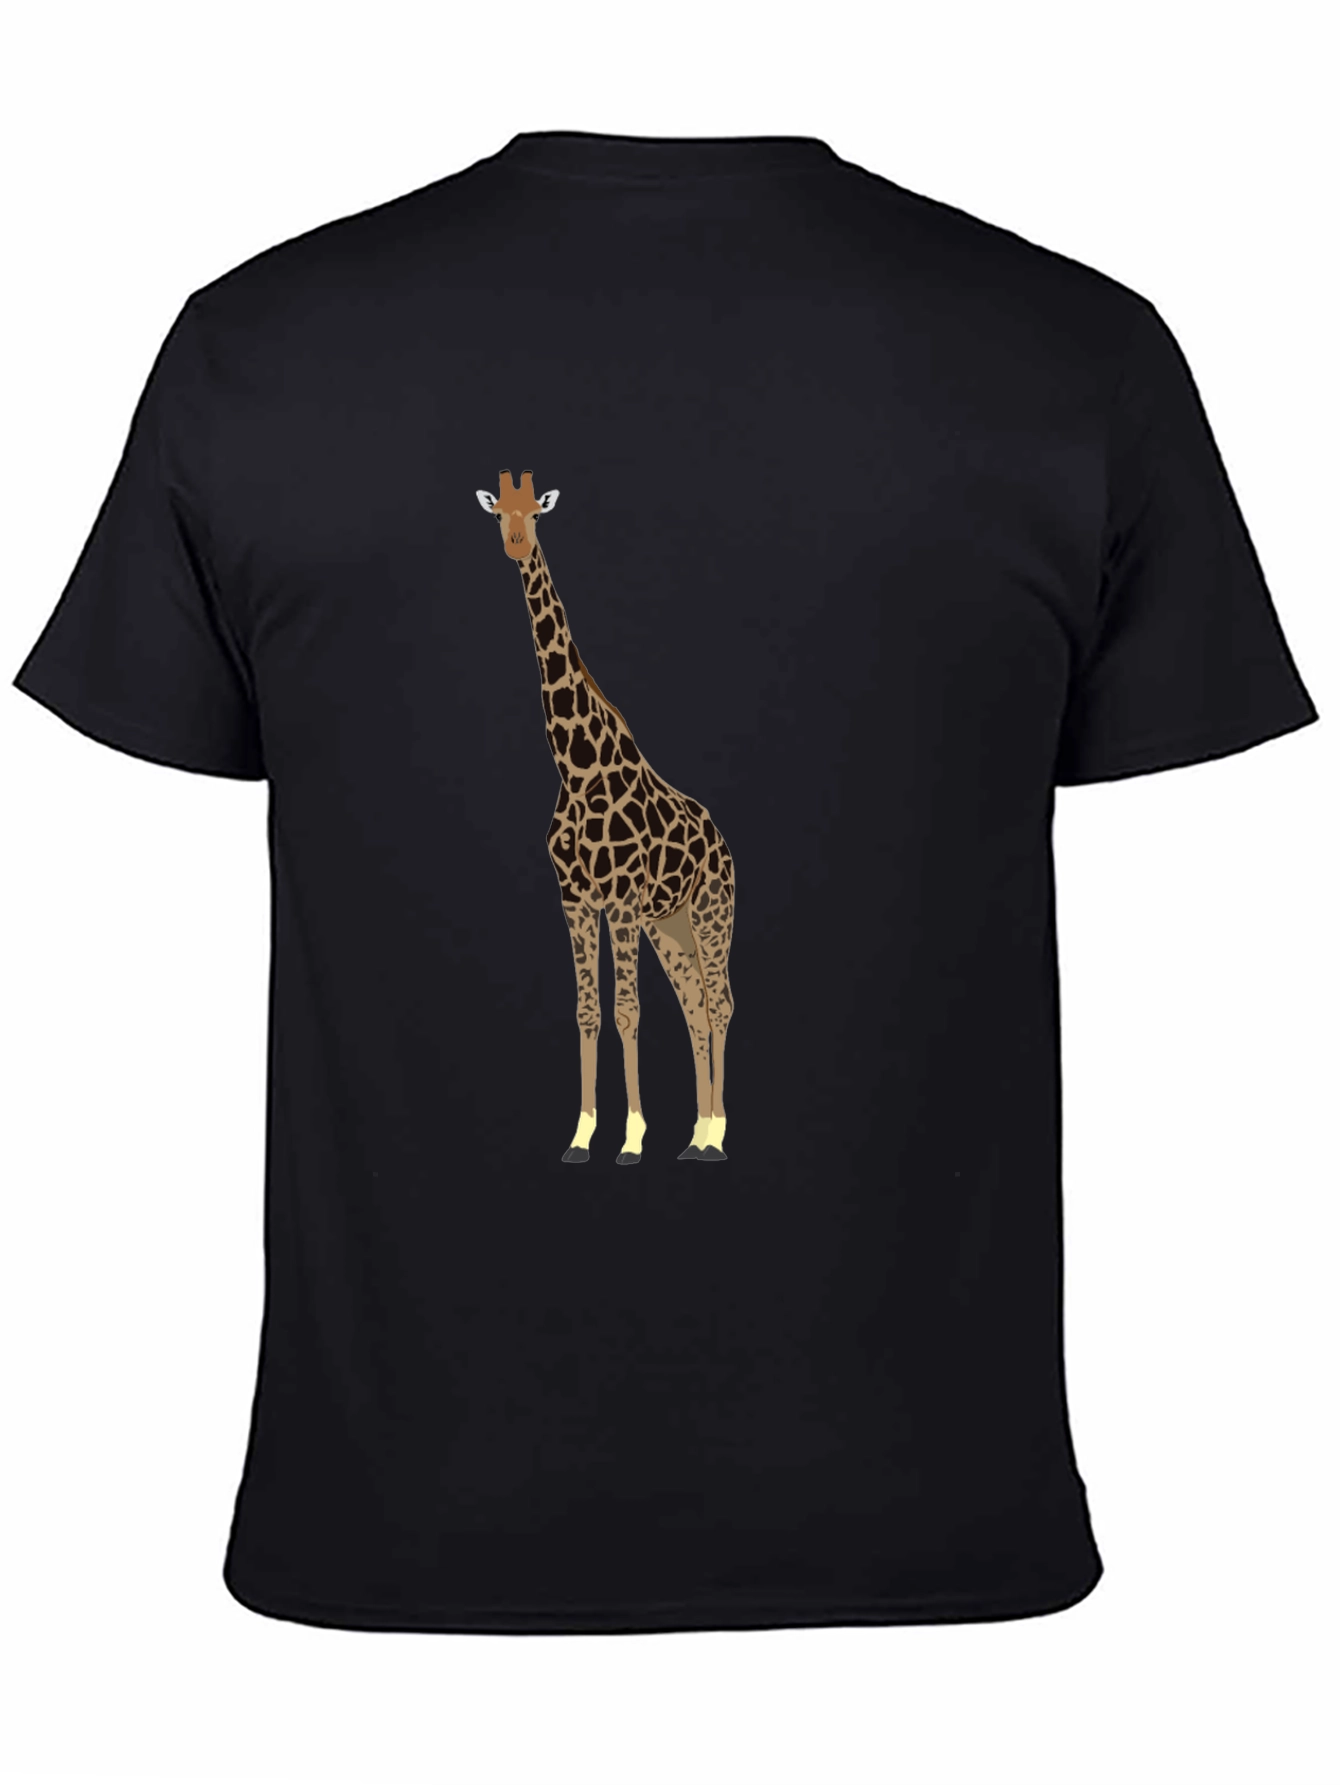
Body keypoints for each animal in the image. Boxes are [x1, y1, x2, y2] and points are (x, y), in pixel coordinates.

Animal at [476, 470, 734, 1165]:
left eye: (536, 513)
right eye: (499, 512)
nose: (515, 544)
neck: (576, 767)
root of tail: (722, 840)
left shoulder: (618, 899)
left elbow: (627, 1012)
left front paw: (633, 1139)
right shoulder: (575, 899)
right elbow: (589, 1011)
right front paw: (582, 1134)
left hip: (709, 913)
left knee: (721, 1004)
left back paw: (716, 1135)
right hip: (668, 925)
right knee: (696, 1005)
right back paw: (697, 1134)